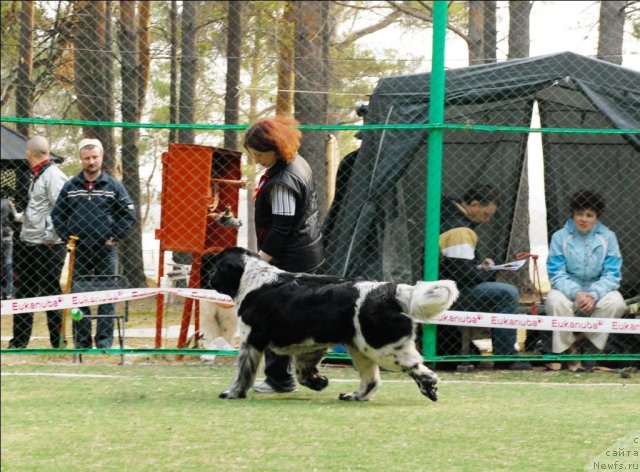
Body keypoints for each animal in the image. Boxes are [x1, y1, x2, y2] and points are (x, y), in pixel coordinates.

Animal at [202, 247, 458, 402]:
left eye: (217, 267)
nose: (210, 278)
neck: (251, 279)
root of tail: (390, 290)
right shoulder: (311, 345)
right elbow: (302, 371)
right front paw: (319, 382)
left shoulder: (250, 343)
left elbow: (242, 374)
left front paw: (232, 392)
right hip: (360, 349)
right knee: (372, 380)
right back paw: (355, 396)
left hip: (380, 346)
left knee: (416, 367)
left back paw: (429, 387)